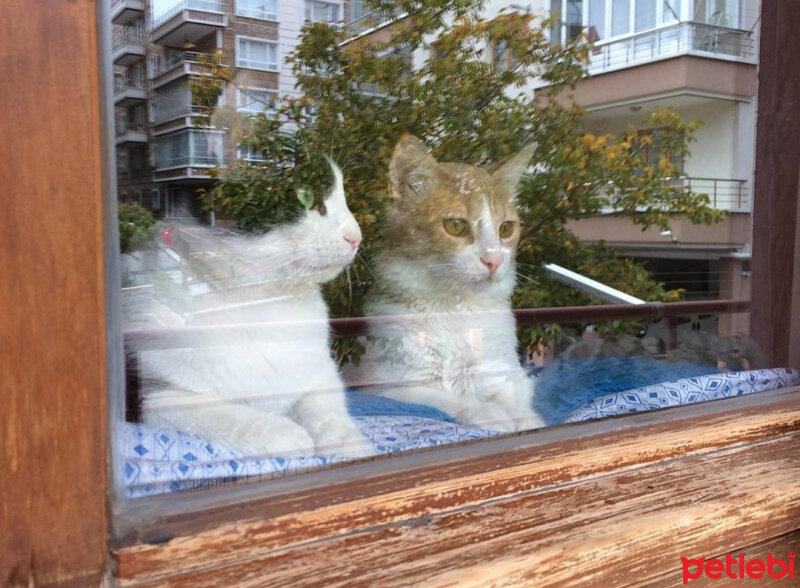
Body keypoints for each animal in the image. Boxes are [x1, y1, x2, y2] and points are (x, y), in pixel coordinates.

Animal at [133, 161, 376, 460]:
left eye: (344, 198)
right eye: (306, 197)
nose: (356, 236)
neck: (267, 304)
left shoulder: (321, 372)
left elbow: (328, 410)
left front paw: (349, 440)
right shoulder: (158, 397)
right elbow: (228, 417)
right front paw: (285, 434)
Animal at [354, 137, 548, 432]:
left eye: (506, 228)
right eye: (456, 225)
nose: (493, 260)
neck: (456, 309)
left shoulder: (506, 373)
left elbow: (513, 397)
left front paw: (527, 420)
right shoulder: (393, 386)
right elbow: (451, 400)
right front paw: (492, 414)